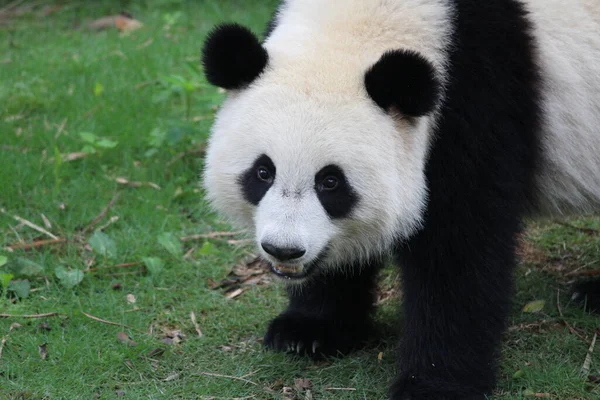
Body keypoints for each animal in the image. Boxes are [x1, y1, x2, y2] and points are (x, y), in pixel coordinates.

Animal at [200, 1, 600, 398]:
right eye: (263, 172)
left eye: (331, 182)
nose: (283, 250)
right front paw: (308, 331)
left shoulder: (479, 105)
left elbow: (459, 252)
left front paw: (434, 384)